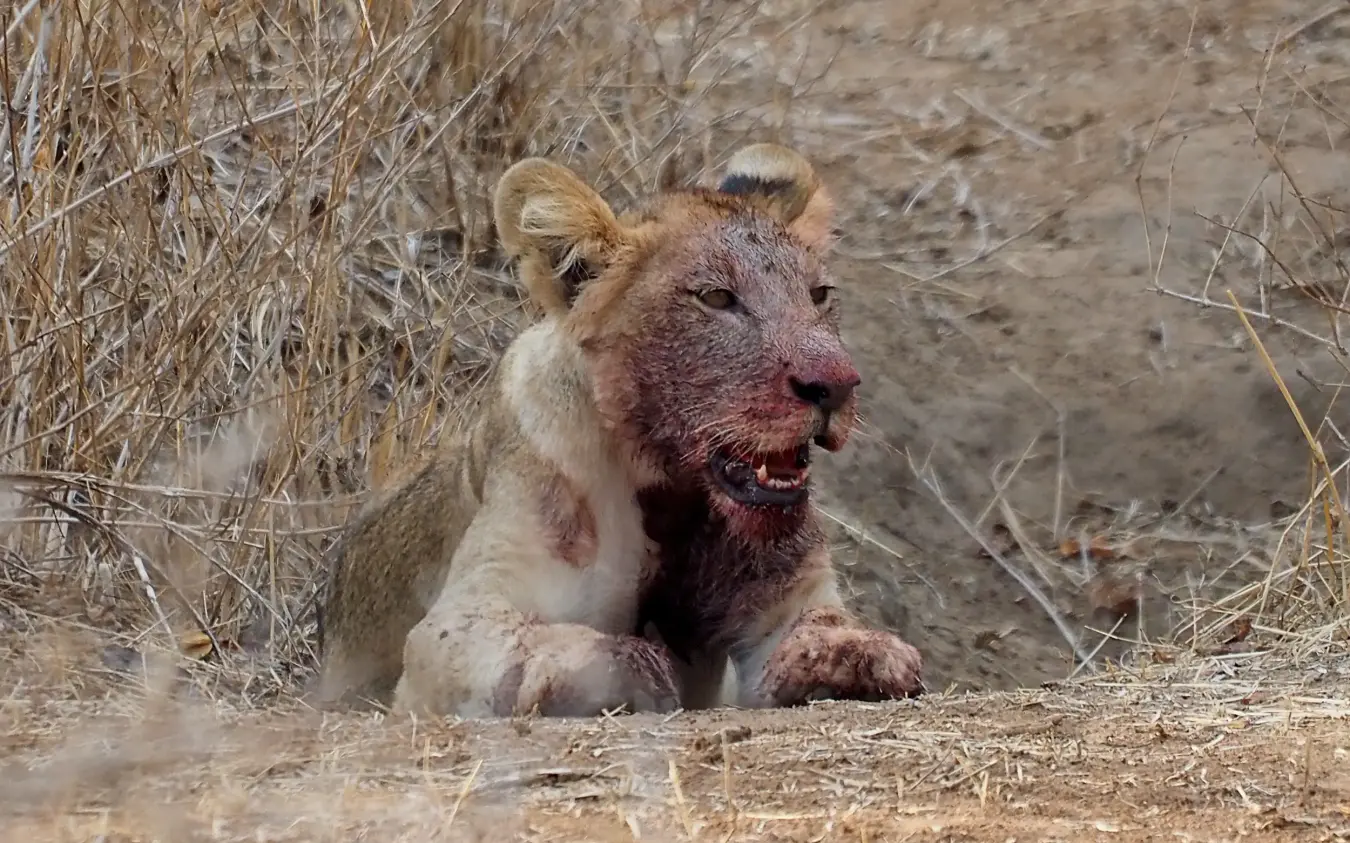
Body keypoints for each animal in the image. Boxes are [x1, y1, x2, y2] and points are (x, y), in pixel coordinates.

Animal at [313, 142, 925, 718]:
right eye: (717, 297)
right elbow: (546, 650)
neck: (670, 488)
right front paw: (637, 669)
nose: (837, 385)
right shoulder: (456, 622)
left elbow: (820, 629)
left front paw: (870, 657)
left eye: (819, 295)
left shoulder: (784, 599)